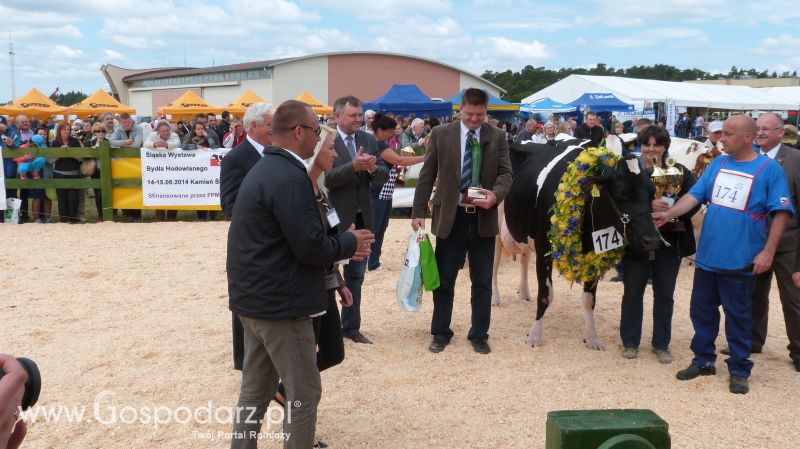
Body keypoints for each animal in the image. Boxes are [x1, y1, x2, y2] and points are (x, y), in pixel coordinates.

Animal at [506, 138, 664, 348]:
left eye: (652, 193)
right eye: (621, 193)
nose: (652, 240)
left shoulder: (596, 255)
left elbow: (589, 300)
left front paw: (592, 338)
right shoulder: (543, 251)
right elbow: (546, 296)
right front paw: (534, 336)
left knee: (524, 256)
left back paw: (523, 293)